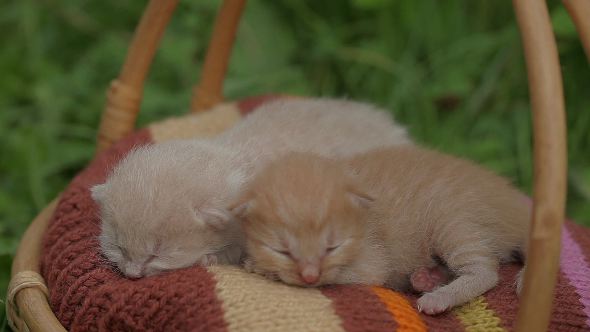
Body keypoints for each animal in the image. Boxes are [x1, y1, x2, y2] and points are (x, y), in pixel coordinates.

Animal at [238, 149, 536, 316]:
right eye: (282, 250)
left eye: (332, 247)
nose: (309, 275)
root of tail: (518, 209)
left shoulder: (371, 262)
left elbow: (351, 274)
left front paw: (261, 268)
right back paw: (426, 279)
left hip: (453, 220)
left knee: (485, 272)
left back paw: (439, 297)